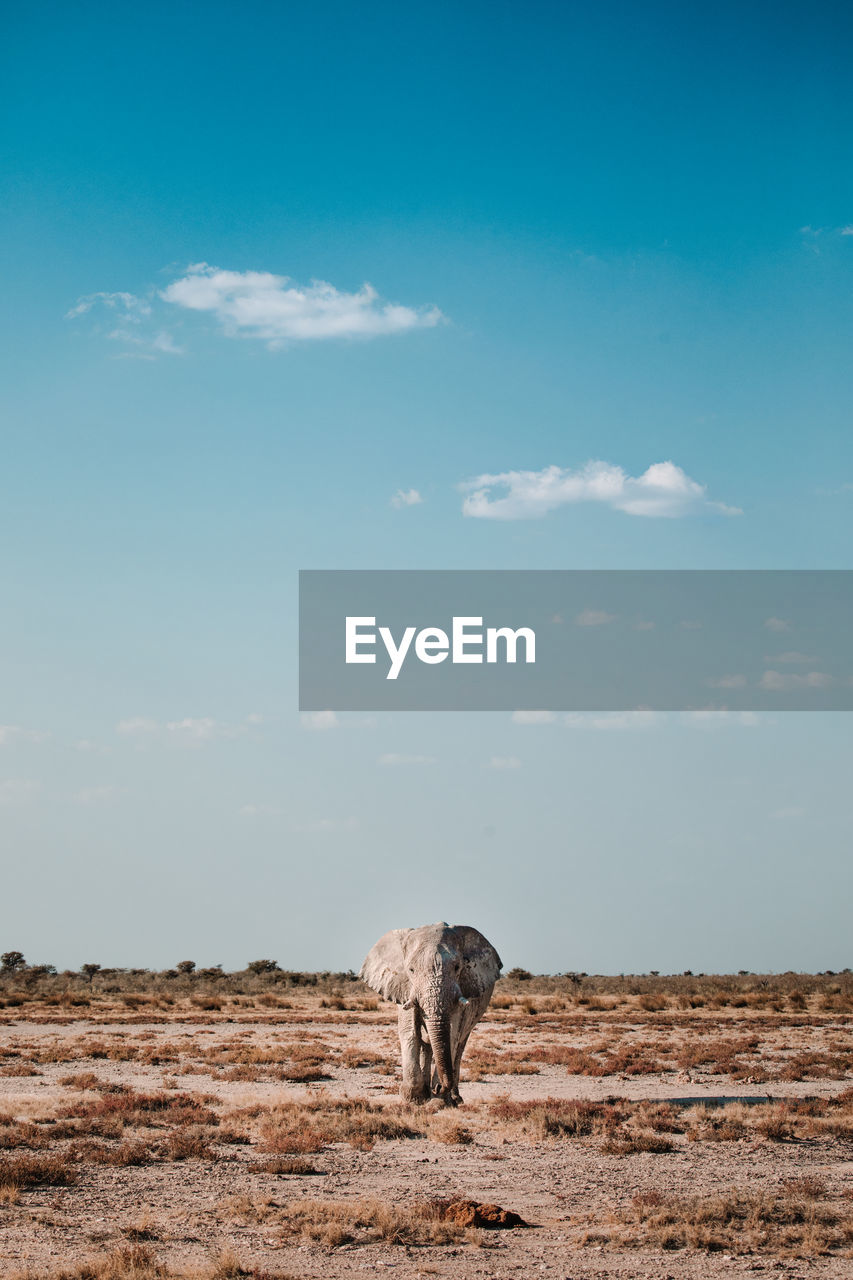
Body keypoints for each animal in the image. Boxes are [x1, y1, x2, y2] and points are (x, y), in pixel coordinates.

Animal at [356, 926, 499, 1105]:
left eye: (457, 967)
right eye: (411, 970)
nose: (438, 1088)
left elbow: (451, 1035)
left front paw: (439, 1102)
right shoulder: (405, 988)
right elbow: (409, 1032)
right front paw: (412, 1098)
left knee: (459, 1046)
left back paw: (455, 1099)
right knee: (426, 1044)